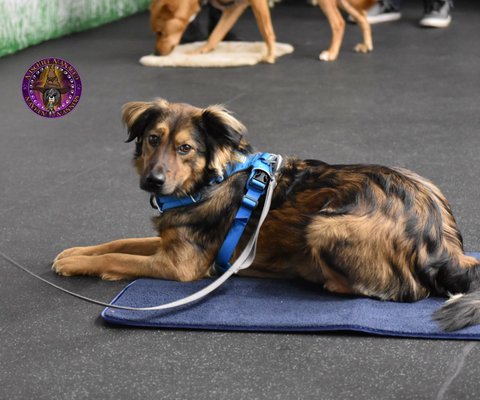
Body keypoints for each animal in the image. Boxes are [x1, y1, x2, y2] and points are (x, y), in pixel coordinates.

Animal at [53, 97, 480, 332]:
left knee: (403, 290)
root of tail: (448, 245)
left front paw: (79, 264)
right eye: (153, 140)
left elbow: (119, 257)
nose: (153, 181)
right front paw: (74, 253)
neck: (210, 180)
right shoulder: (171, 240)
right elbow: (119, 241)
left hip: (324, 227)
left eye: (185, 148)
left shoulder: (180, 265)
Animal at [150, 0, 378, 62]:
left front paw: (269, 56)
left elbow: (266, 30)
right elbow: (216, 35)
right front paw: (201, 51)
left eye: (161, 32)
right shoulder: (233, 8)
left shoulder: (256, 3)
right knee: (362, 17)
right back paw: (366, 45)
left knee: (338, 23)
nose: (156, 53)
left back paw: (331, 53)